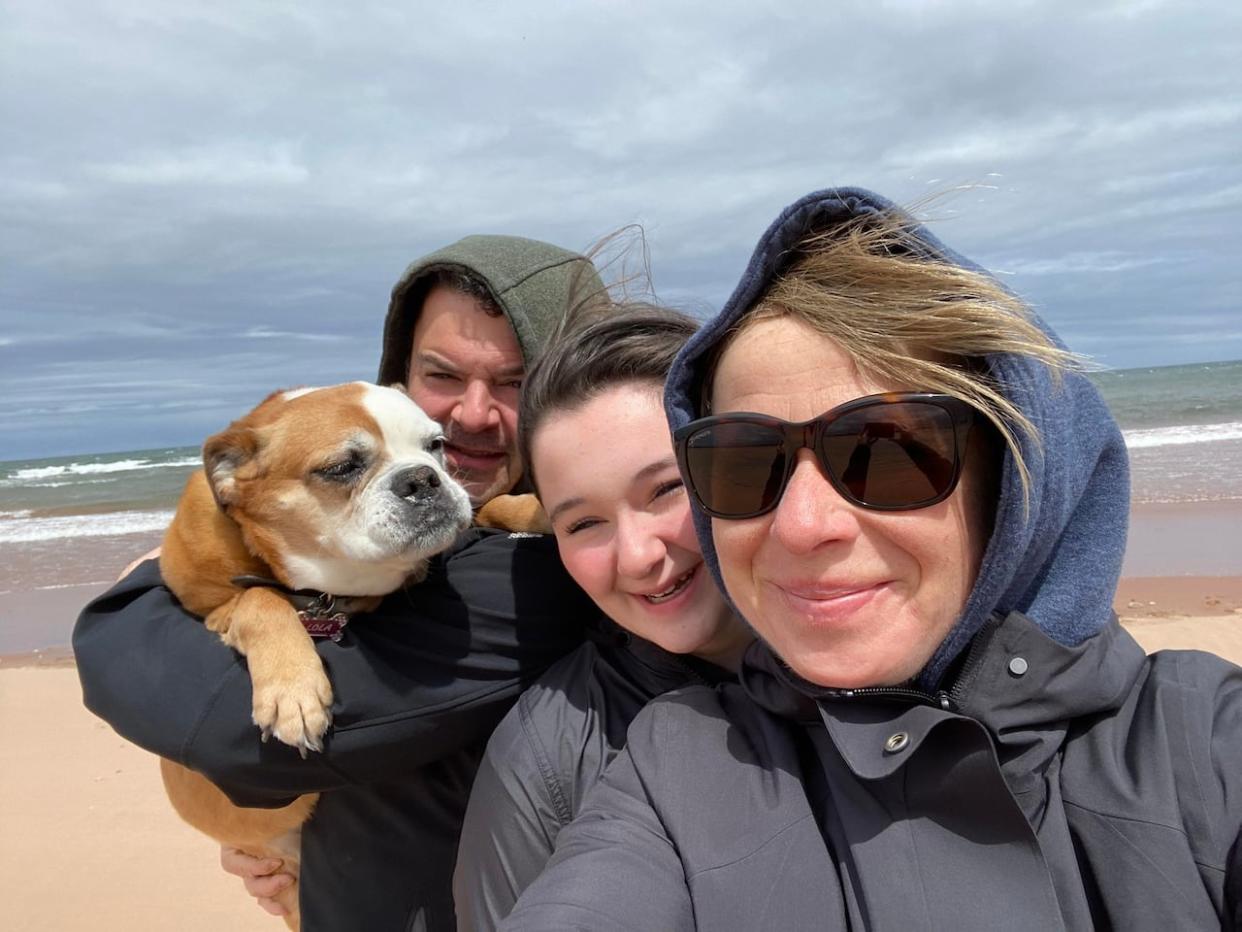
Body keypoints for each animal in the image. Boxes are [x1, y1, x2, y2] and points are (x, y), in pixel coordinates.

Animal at [158, 382, 474, 929]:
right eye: (342, 468)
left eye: (436, 446)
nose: (423, 478)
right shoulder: (217, 609)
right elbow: (259, 599)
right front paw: (293, 691)